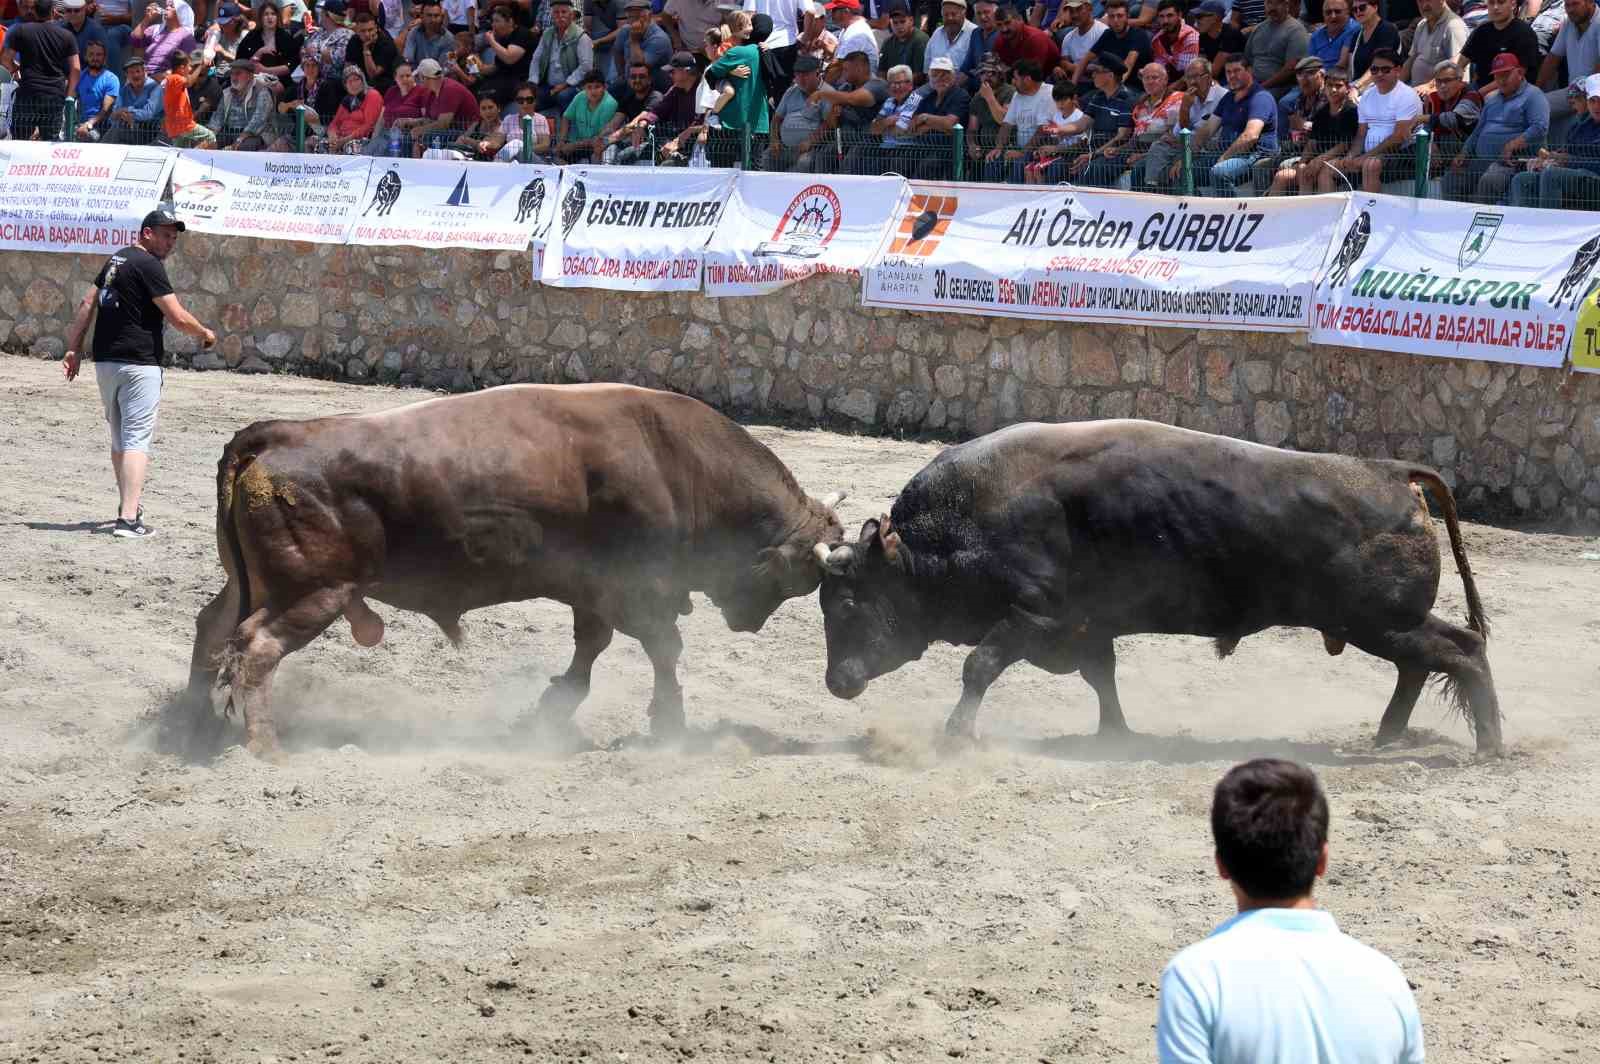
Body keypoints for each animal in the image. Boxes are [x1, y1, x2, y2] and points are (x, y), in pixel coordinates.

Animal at [181, 382, 844, 755]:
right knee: (255, 648)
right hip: (311, 593)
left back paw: (194, 725)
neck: (674, 460)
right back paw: (263, 747)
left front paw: (548, 711)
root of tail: (276, 435)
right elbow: (662, 650)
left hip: (250, 585)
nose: (747, 621)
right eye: (796, 584)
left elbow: (591, 649)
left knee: (212, 628)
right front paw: (670, 727)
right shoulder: (637, 592)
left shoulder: (592, 594)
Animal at [819, 416, 1504, 755]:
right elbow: (1103, 677)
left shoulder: (1031, 618)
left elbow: (979, 668)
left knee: (1462, 651)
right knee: (1419, 666)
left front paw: (957, 735)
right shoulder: (1087, 628)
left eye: (848, 602)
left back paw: (1489, 747)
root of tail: (1391, 472)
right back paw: (1387, 737)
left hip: (1382, 621)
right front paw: (1116, 735)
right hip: (1381, 625)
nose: (837, 682)